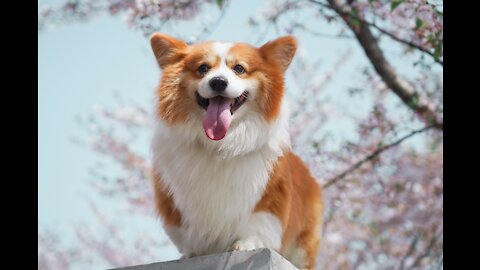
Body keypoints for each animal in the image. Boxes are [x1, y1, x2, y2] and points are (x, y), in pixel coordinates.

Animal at [148, 32, 324, 268]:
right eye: (203, 68)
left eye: (239, 68)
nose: (218, 82)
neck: (220, 144)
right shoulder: (176, 203)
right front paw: (191, 253)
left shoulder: (267, 197)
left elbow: (257, 225)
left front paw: (245, 245)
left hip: (303, 246)